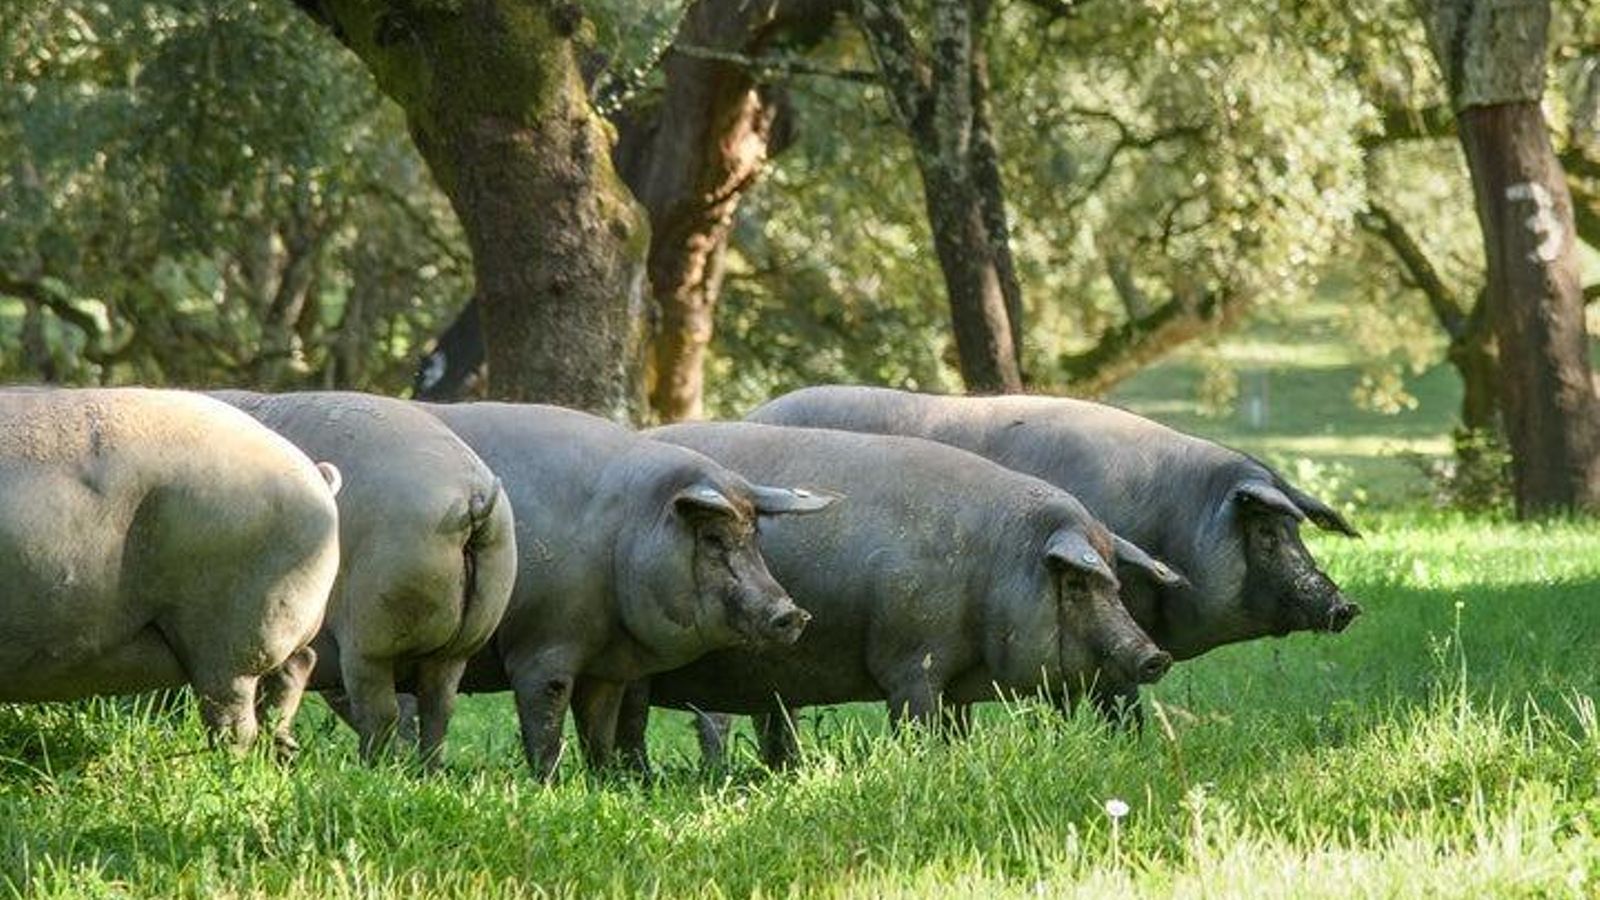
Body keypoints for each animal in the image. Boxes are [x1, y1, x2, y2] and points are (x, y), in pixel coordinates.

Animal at [210, 390, 517, 763]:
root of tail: (474, 498)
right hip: (459, 645)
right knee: (439, 709)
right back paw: (425, 768)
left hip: (369, 643)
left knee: (381, 712)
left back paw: (368, 765)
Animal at [419, 403, 834, 780]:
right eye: (713, 538)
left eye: (755, 537)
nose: (793, 613)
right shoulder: (540, 648)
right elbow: (547, 722)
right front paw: (548, 784)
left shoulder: (606, 669)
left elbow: (599, 729)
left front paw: (604, 781)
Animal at [613, 422, 1180, 771]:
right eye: (1077, 582)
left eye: (1116, 581)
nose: (1154, 656)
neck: (996, 563)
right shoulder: (911, 661)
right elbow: (917, 724)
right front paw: (924, 766)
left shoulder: (953, 683)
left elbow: (957, 730)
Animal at [750, 385, 1362, 717]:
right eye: (1265, 533)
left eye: (1297, 531)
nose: (1346, 606)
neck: (1175, 522)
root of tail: (755, 413)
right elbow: (1116, 699)